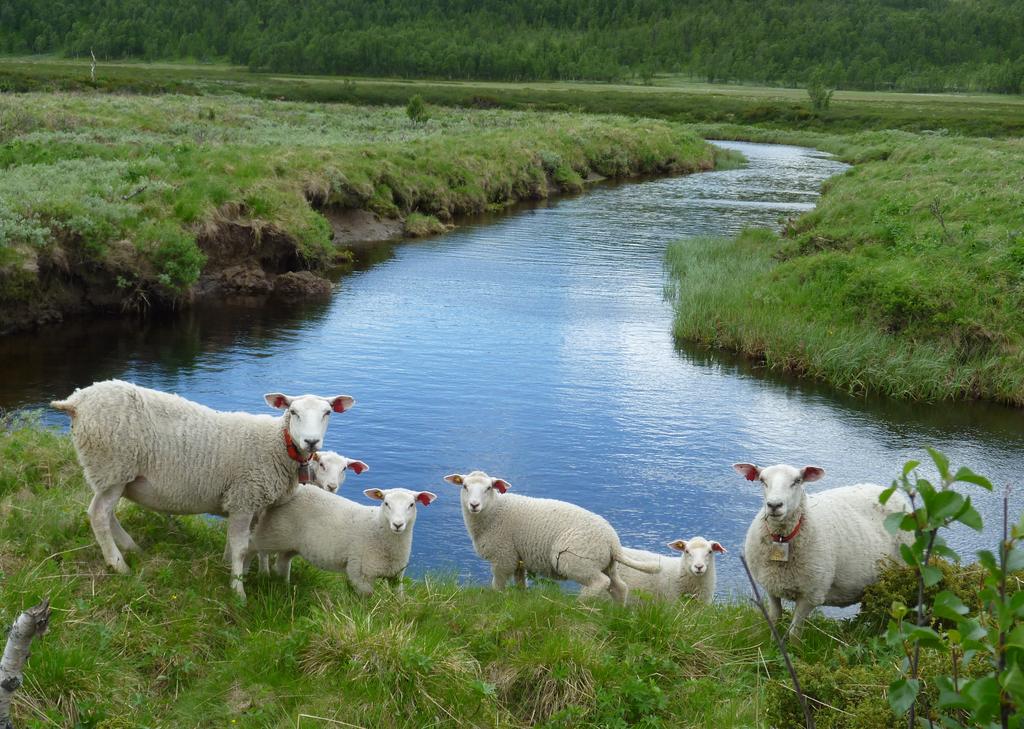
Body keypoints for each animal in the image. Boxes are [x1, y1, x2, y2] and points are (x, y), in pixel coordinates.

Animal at [51, 378, 356, 602]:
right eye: (293, 412)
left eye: (327, 413)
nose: (311, 442)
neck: (277, 445)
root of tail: (77, 400)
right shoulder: (244, 496)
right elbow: (241, 546)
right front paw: (238, 590)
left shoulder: (255, 502)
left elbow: (256, 544)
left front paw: (253, 572)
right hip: (113, 464)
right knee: (99, 514)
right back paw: (118, 564)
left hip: (109, 473)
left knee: (105, 513)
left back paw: (131, 548)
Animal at [251, 483, 440, 593]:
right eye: (386, 503)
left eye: (412, 504)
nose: (398, 524)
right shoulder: (360, 574)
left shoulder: (396, 576)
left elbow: (398, 598)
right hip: (272, 532)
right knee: (259, 550)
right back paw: (261, 575)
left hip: (290, 544)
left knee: (282, 563)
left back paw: (286, 586)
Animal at [444, 468, 659, 602]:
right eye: (464, 486)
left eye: (488, 488)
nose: (474, 505)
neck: (495, 511)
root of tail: (613, 541)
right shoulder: (517, 557)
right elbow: (520, 583)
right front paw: (520, 600)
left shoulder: (503, 557)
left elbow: (497, 585)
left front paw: (496, 601)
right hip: (607, 564)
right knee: (619, 587)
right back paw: (618, 612)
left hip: (576, 561)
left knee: (600, 583)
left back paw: (578, 605)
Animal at [737, 464, 913, 634]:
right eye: (762, 480)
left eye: (797, 481)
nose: (774, 505)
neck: (781, 538)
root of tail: (891, 492)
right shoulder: (771, 588)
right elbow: (774, 620)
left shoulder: (811, 594)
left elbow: (795, 632)